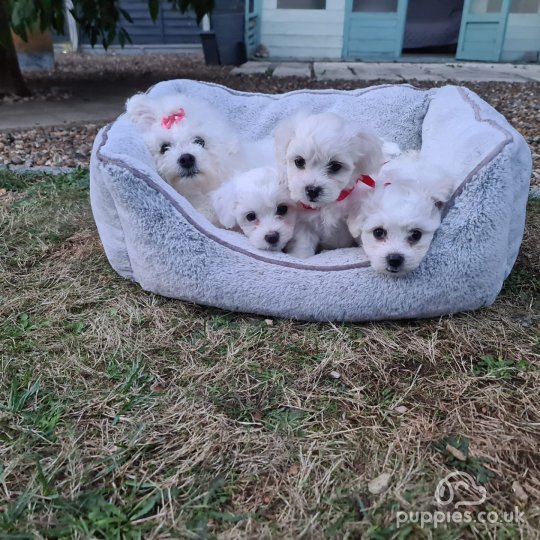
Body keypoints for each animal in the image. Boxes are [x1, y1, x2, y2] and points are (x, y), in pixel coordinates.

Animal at [276, 110, 386, 258]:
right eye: (299, 161)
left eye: (335, 166)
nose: (312, 190)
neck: (327, 205)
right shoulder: (304, 224)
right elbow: (303, 245)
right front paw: (300, 257)